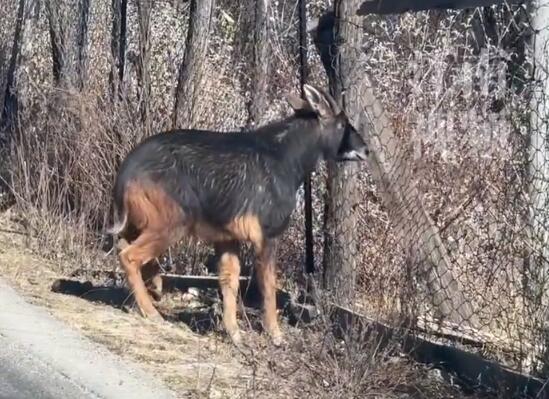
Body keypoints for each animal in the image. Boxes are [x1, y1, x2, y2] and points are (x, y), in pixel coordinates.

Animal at [107, 85, 368, 346]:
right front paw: (275, 333)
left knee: (124, 246)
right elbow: (268, 284)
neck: (291, 160)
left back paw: (156, 288)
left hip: (142, 223)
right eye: (342, 124)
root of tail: (124, 175)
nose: (365, 150)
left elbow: (229, 280)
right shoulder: (267, 235)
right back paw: (151, 310)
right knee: (129, 255)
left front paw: (233, 332)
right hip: (172, 224)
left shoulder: (227, 237)